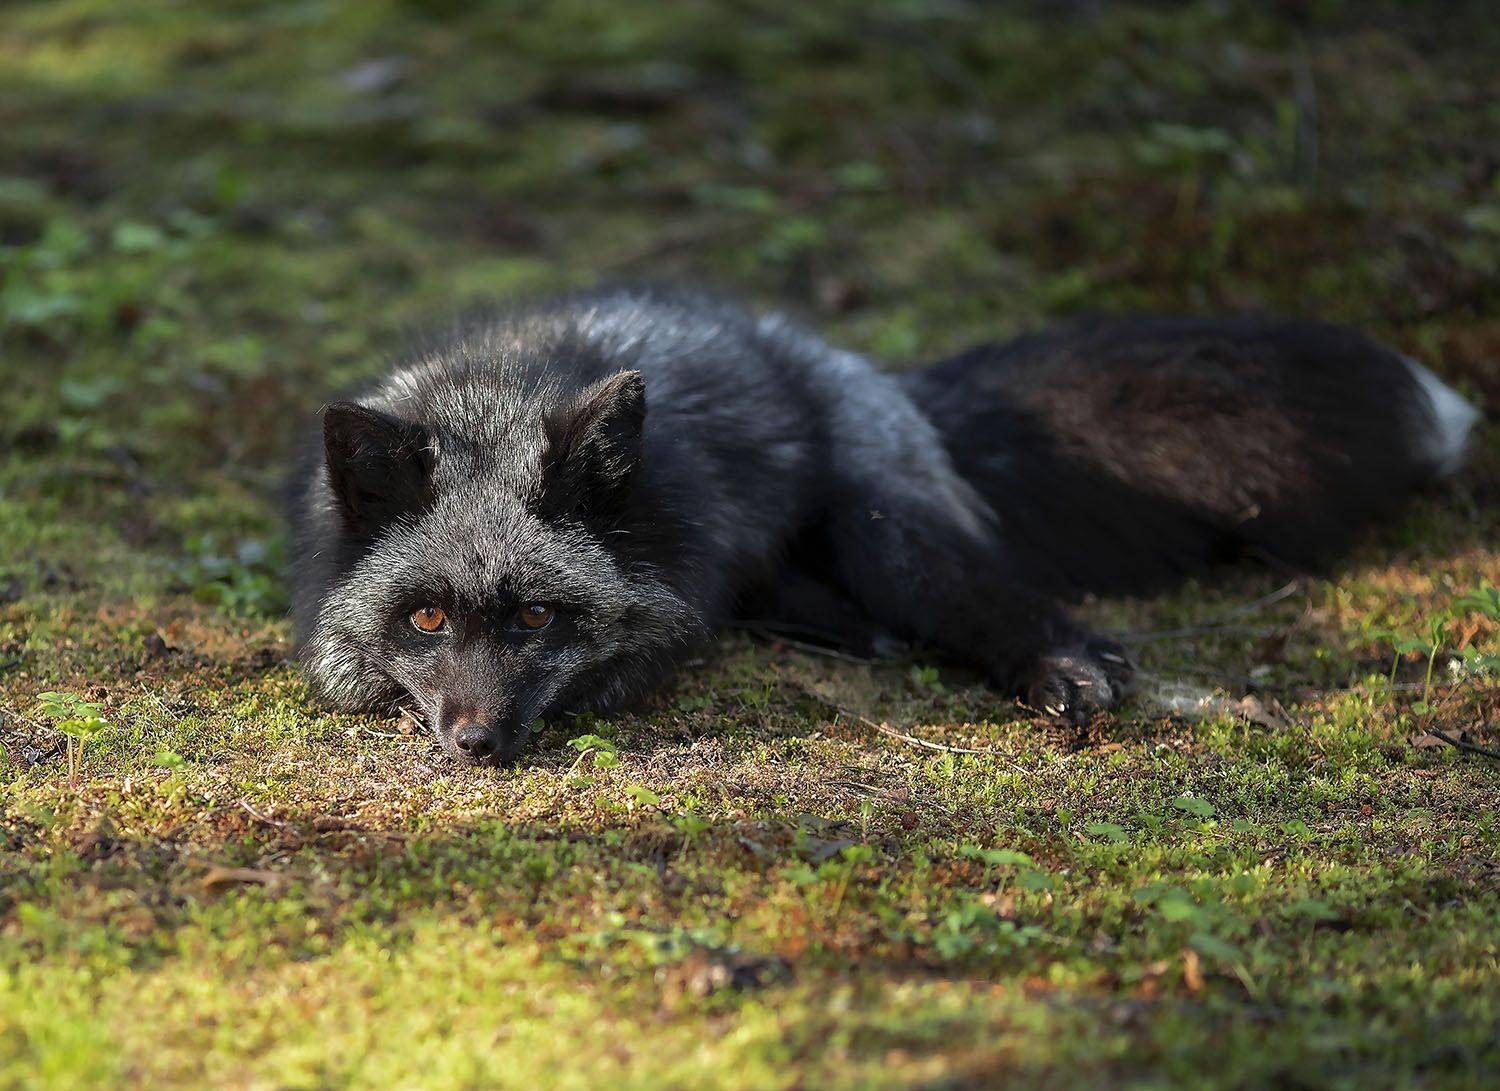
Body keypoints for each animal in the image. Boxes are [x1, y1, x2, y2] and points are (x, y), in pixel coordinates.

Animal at [290, 286, 1480, 765]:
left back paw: (1061, 666)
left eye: (536, 616)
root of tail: (852, 363)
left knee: (990, 593)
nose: (477, 744)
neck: (497, 392)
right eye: (427, 618)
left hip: (887, 530)